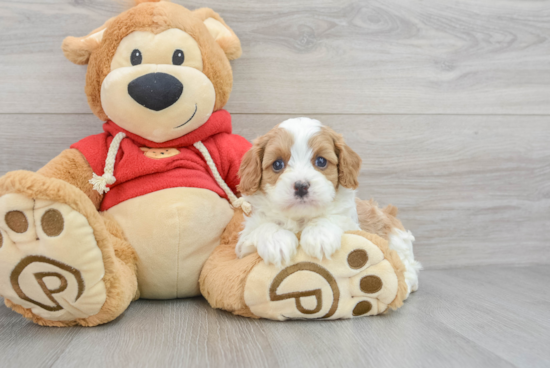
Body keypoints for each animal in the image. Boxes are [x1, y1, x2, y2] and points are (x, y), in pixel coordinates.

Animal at [236, 118, 362, 268]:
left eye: (321, 161)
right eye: (277, 164)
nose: (301, 186)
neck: (299, 217)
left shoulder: (353, 225)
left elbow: (332, 217)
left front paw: (319, 235)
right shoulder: (244, 247)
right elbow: (264, 226)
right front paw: (277, 241)